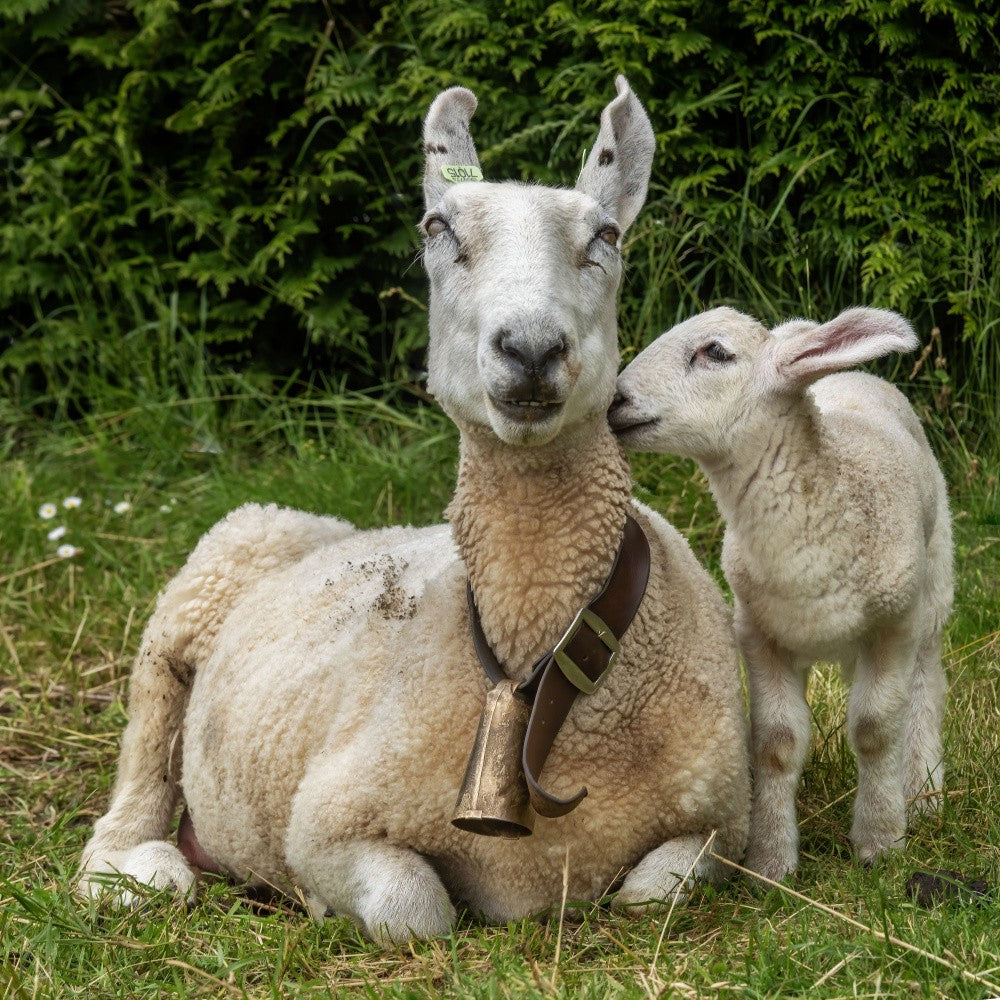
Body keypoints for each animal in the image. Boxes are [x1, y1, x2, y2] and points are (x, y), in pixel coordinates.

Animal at [76, 78, 751, 943]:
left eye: (605, 236)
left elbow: (655, 893)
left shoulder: (720, 820)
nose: (531, 348)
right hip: (189, 604)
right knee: (138, 766)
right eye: (439, 229)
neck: (536, 658)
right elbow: (414, 911)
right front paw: (322, 902)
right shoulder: (326, 820)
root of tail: (326, 525)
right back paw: (137, 870)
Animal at [609, 306, 952, 881]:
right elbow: (776, 742)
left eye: (715, 352)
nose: (614, 402)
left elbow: (876, 728)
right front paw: (771, 862)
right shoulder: (759, 632)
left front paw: (880, 840)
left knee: (927, 683)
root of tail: (855, 374)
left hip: (935, 580)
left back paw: (923, 792)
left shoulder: (893, 625)